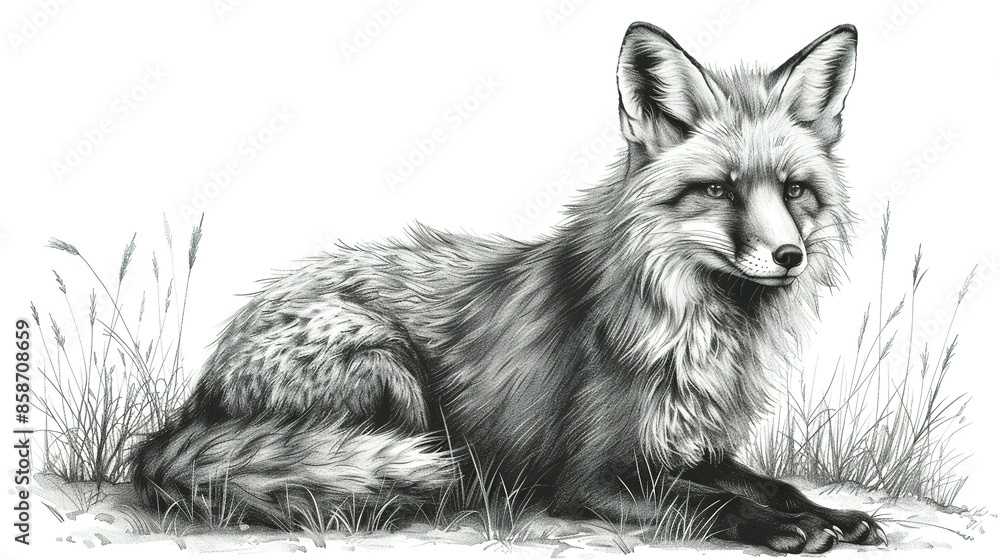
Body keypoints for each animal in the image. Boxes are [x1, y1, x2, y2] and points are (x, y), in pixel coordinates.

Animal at [133, 22, 883, 553]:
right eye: (721, 190)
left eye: (794, 191)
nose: (788, 255)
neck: (704, 332)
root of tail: (196, 398)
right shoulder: (592, 474)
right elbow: (711, 501)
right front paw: (781, 528)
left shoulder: (699, 447)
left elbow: (774, 484)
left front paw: (832, 514)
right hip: (388, 366)